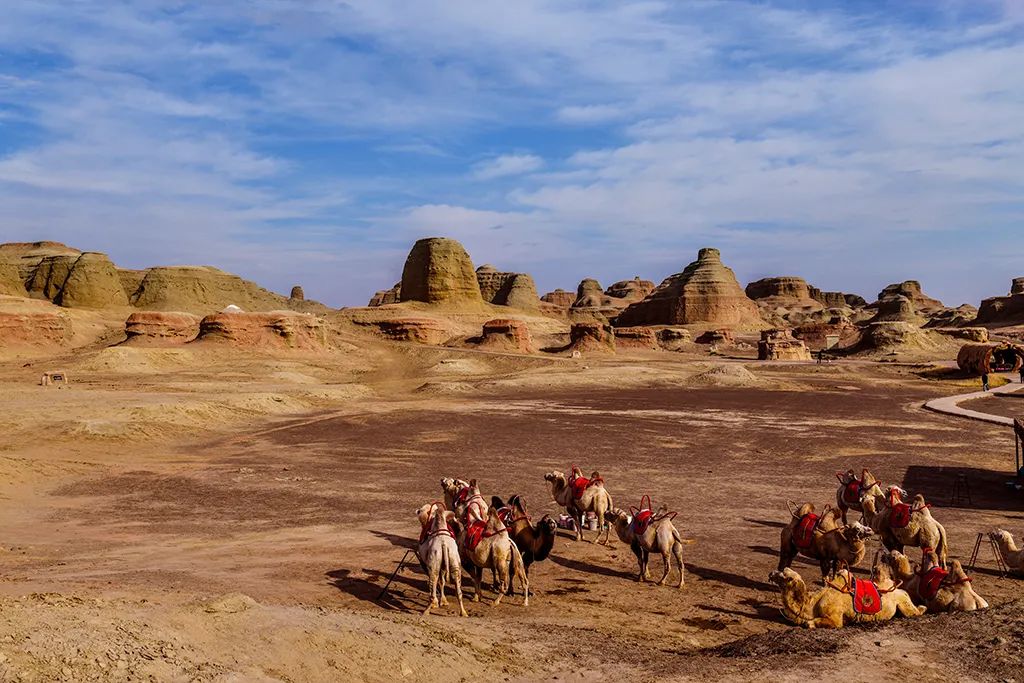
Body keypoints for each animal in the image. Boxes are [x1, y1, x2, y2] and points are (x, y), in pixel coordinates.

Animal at [770, 565, 929, 630]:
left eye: (787, 577)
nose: (771, 573)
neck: (812, 604)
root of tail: (897, 586)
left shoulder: (835, 618)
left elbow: (812, 623)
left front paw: (809, 624)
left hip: (904, 602)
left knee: (913, 612)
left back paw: (923, 607)